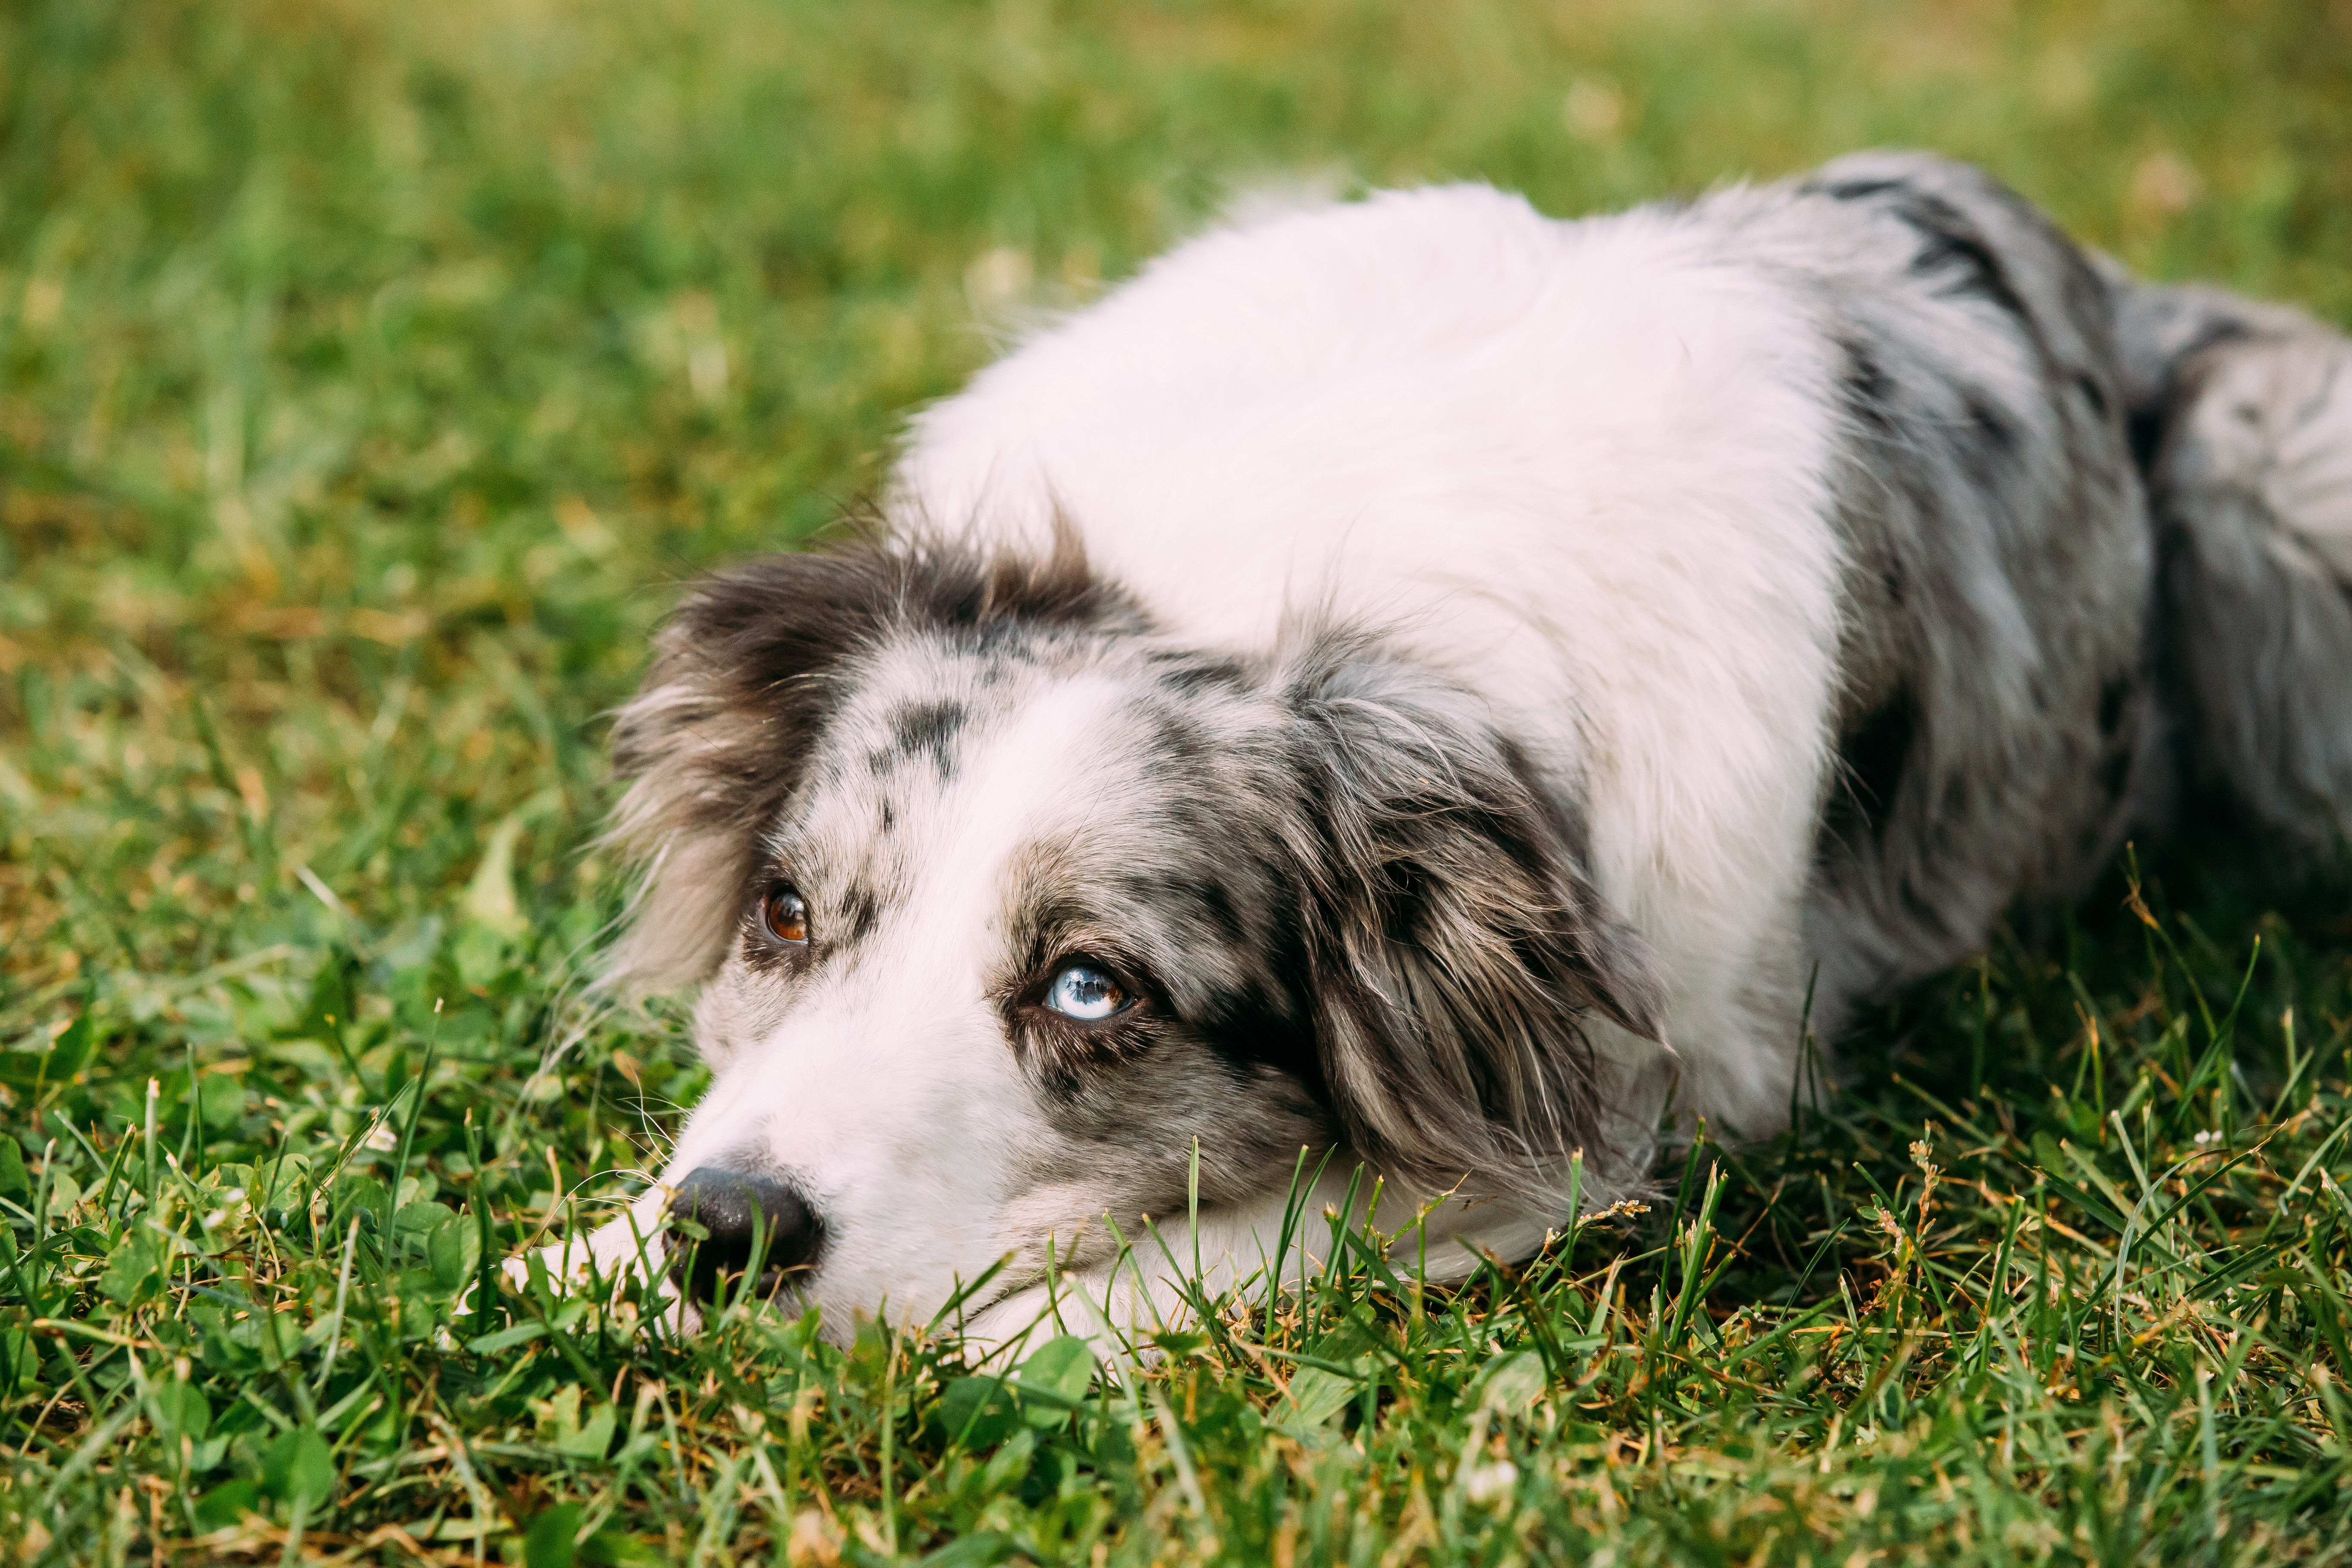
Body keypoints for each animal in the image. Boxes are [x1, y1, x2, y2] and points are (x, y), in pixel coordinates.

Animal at [541, 150, 2352, 1354]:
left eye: (1090, 988)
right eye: (782, 913)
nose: (729, 1233)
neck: (1268, 578)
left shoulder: (1647, 1097)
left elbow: (1299, 1218)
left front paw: (994, 1337)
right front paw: (586, 1256)